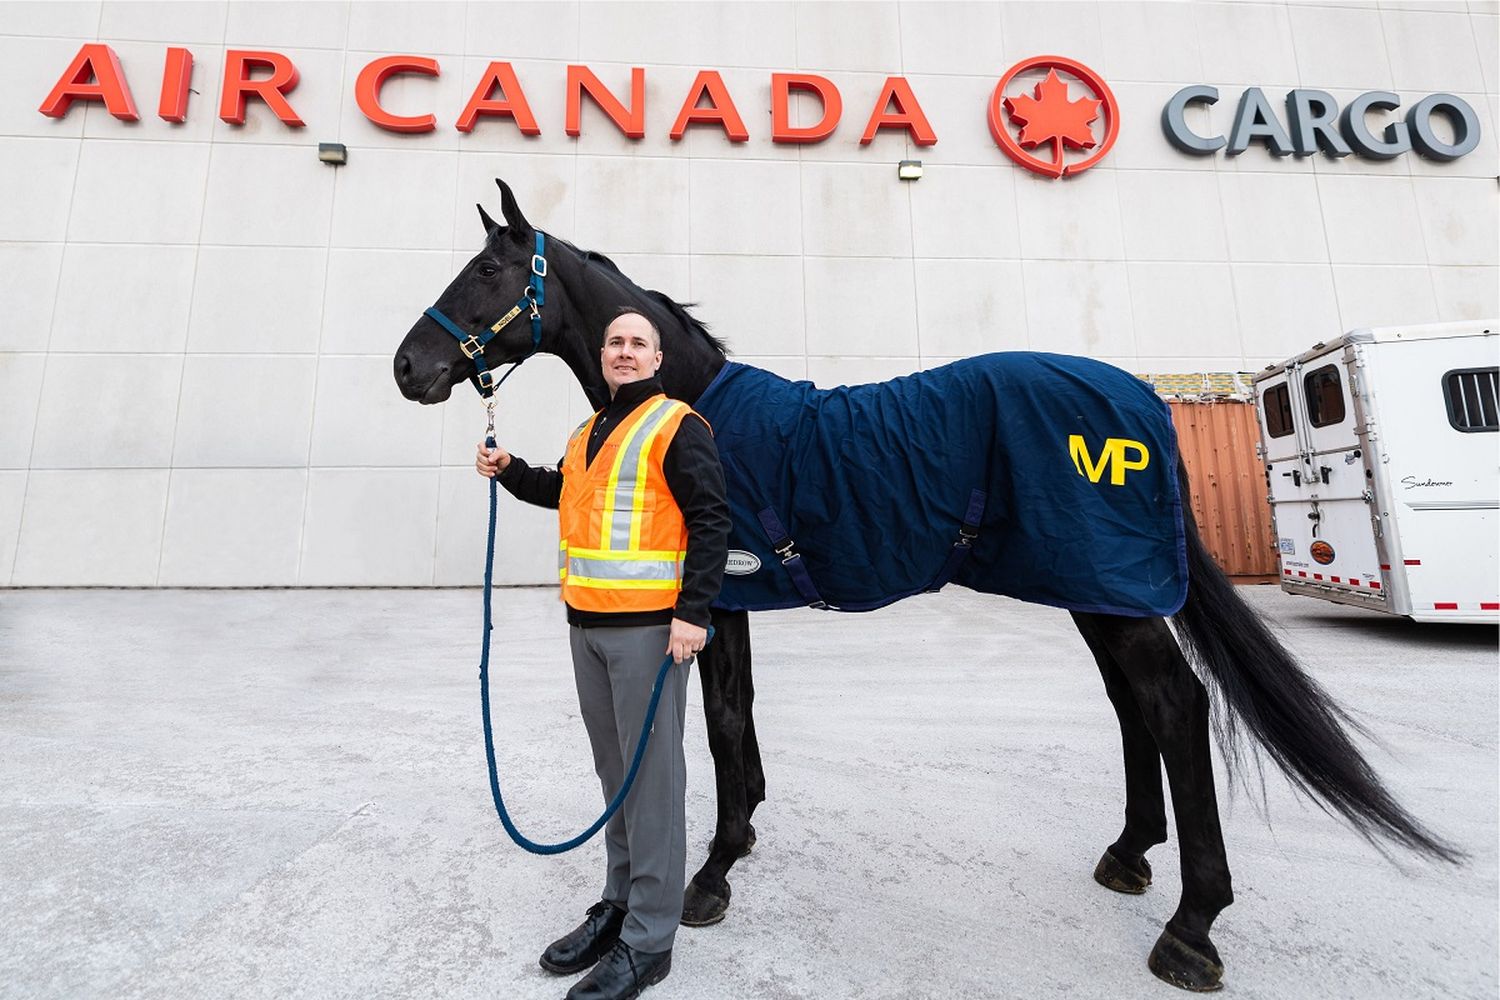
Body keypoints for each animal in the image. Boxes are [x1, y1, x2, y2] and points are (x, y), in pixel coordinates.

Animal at [393, 179, 1458, 995]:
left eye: (487, 272)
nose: (410, 367)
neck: (691, 404)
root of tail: (1140, 401)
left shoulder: (719, 602)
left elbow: (725, 726)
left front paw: (712, 874)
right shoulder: (735, 608)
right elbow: (742, 724)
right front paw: (739, 845)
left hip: (1110, 595)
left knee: (1173, 703)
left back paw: (1191, 929)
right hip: (1095, 591)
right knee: (1134, 706)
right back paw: (1129, 855)